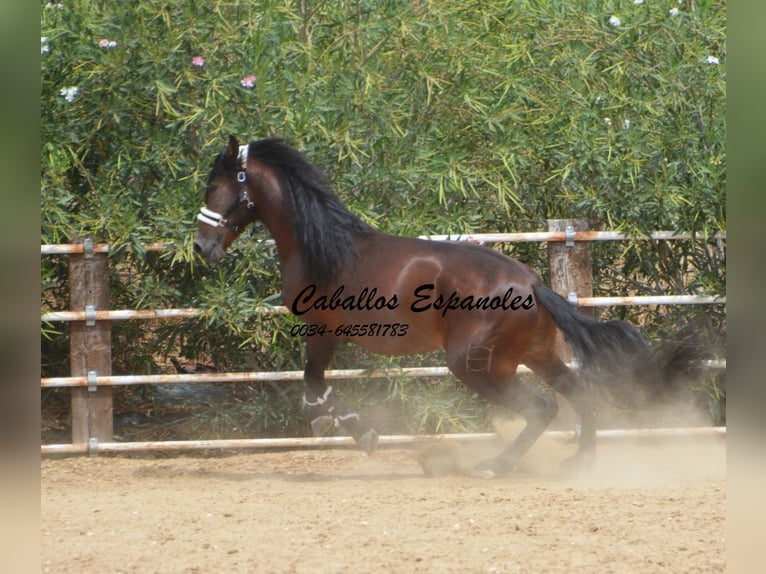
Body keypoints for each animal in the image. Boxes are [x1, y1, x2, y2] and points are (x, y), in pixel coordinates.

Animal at [194, 137, 704, 480]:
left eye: (215, 185)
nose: (201, 248)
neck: (324, 248)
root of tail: (534, 284)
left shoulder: (323, 331)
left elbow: (314, 383)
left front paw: (355, 432)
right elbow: (315, 384)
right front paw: (341, 426)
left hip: (476, 365)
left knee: (541, 407)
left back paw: (495, 465)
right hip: (535, 355)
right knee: (577, 392)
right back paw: (579, 461)